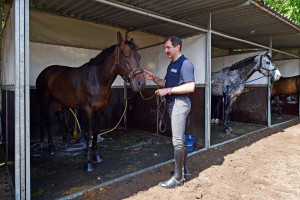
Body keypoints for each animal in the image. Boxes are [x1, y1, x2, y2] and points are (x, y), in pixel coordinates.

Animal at [35, 32, 146, 171]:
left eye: (139, 57)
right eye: (126, 56)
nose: (141, 83)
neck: (97, 80)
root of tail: (44, 72)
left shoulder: (100, 110)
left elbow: (96, 131)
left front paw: (96, 156)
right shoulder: (87, 110)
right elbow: (88, 134)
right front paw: (87, 163)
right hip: (45, 101)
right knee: (47, 122)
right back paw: (50, 147)